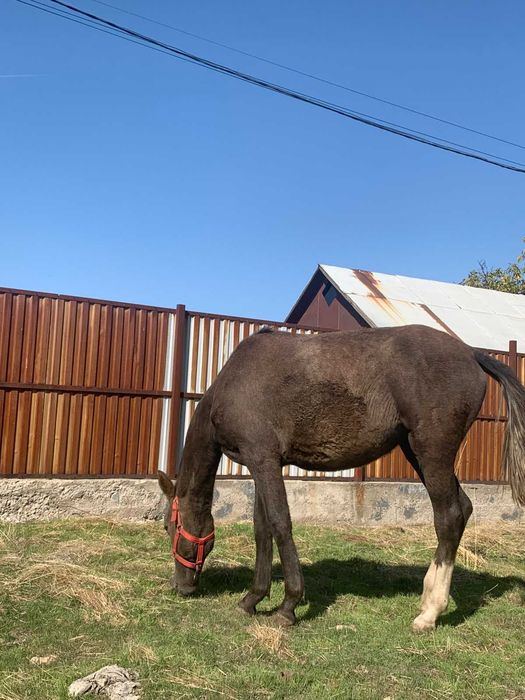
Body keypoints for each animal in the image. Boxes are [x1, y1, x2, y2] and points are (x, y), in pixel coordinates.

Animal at [157, 324, 525, 632]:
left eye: (168, 526)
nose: (181, 586)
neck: (233, 383)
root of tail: (470, 353)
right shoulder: (261, 463)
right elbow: (263, 529)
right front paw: (252, 599)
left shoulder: (262, 459)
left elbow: (280, 524)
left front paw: (288, 606)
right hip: (416, 452)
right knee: (462, 509)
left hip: (432, 452)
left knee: (448, 516)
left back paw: (430, 613)